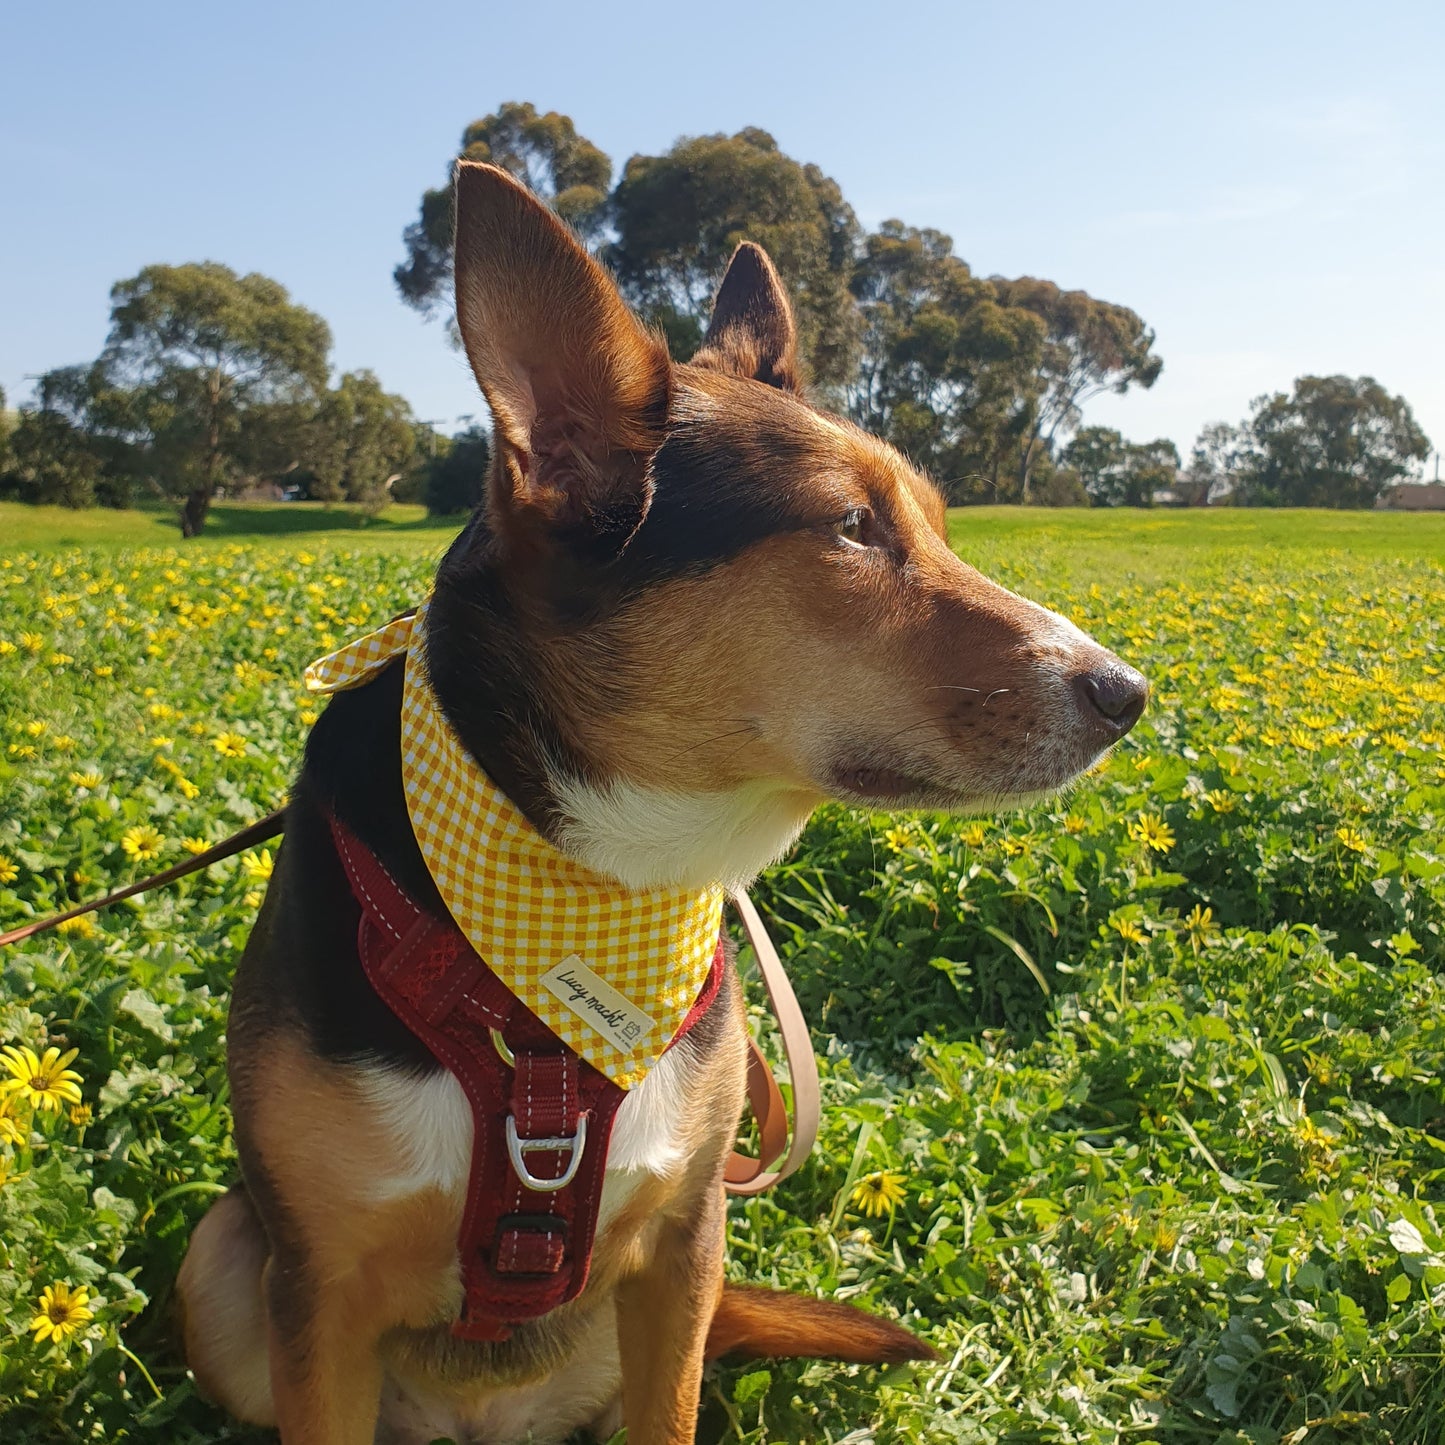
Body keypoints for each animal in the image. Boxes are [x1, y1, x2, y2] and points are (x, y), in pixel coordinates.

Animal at [174, 164, 1150, 1439]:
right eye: (851, 526)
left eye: (934, 520)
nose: (1126, 692)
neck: (594, 893)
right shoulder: (321, 1289)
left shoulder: (686, 1243)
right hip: (219, 1258)